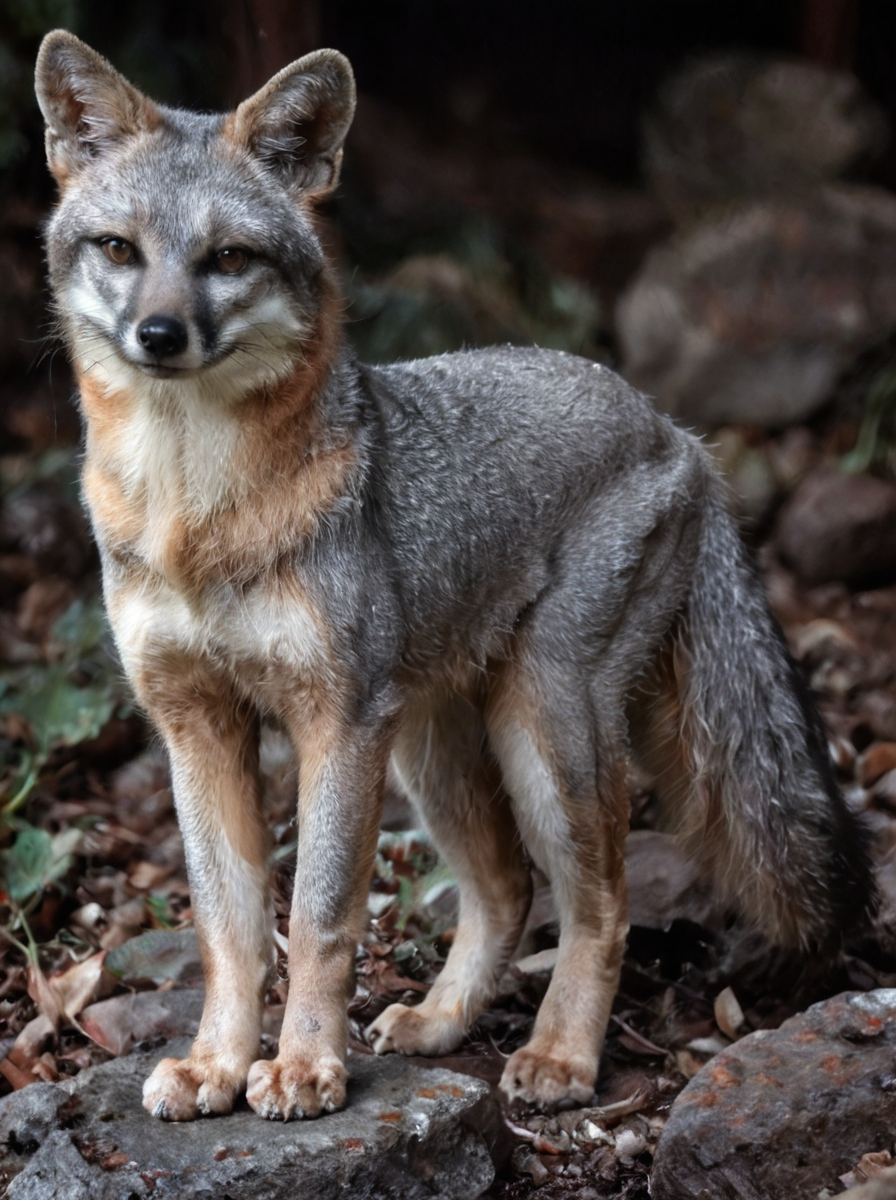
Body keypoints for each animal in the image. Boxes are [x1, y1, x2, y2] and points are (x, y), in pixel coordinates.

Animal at [35, 30, 872, 1123]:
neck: (197, 516)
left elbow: (317, 919)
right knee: (507, 889)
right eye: (119, 250)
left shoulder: (337, 721)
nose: (161, 335)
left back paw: (560, 1056)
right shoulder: (197, 724)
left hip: (541, 723)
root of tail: (674, 429)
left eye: (228, 259)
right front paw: (217, 1062)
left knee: (600, 901)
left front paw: (304, 1067)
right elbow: (227, 926)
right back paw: (441, 1021)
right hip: (430, 750)